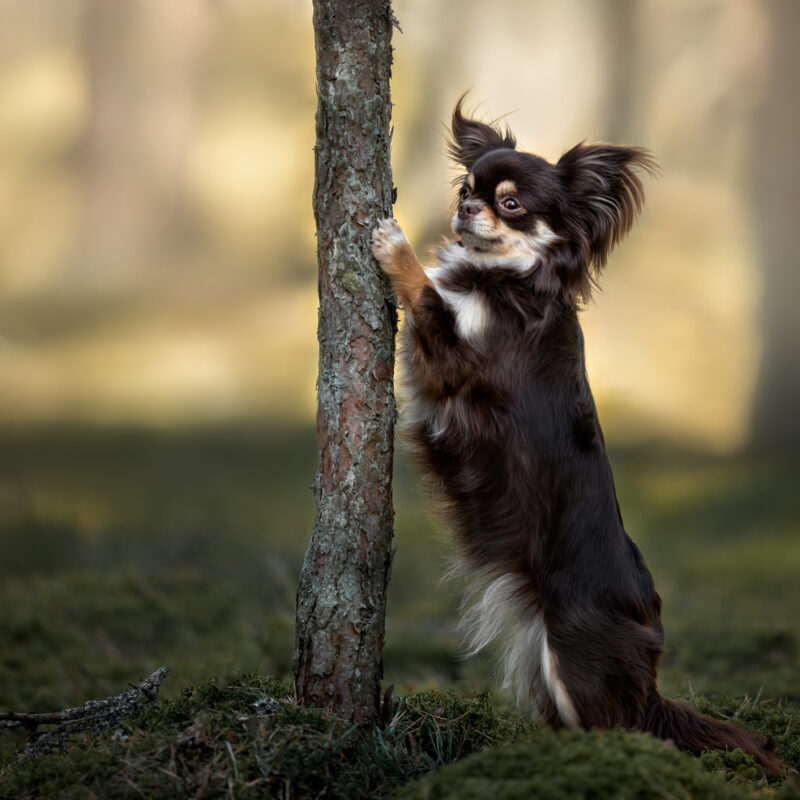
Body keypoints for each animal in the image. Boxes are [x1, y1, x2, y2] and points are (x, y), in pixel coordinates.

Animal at [372, 97, 780, 772]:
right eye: (466, 188)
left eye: (511, 203)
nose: (464, 207)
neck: (509, 277)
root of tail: (652, 672)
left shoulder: (454, 363)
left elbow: (427, 293)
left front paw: (395, 243)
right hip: (548, 664)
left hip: (577, 660)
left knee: (615, 728)